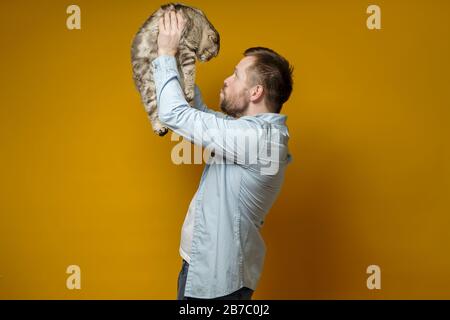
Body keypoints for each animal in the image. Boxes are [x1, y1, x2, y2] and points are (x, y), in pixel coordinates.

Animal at [131, 3, 221, 136]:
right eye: (211, 55)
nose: (207, 60)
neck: (198, 23)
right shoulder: (186, 47)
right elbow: (190, 72)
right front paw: (190, 90)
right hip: (149, 87)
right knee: (152, 111)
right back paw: (159, 127)